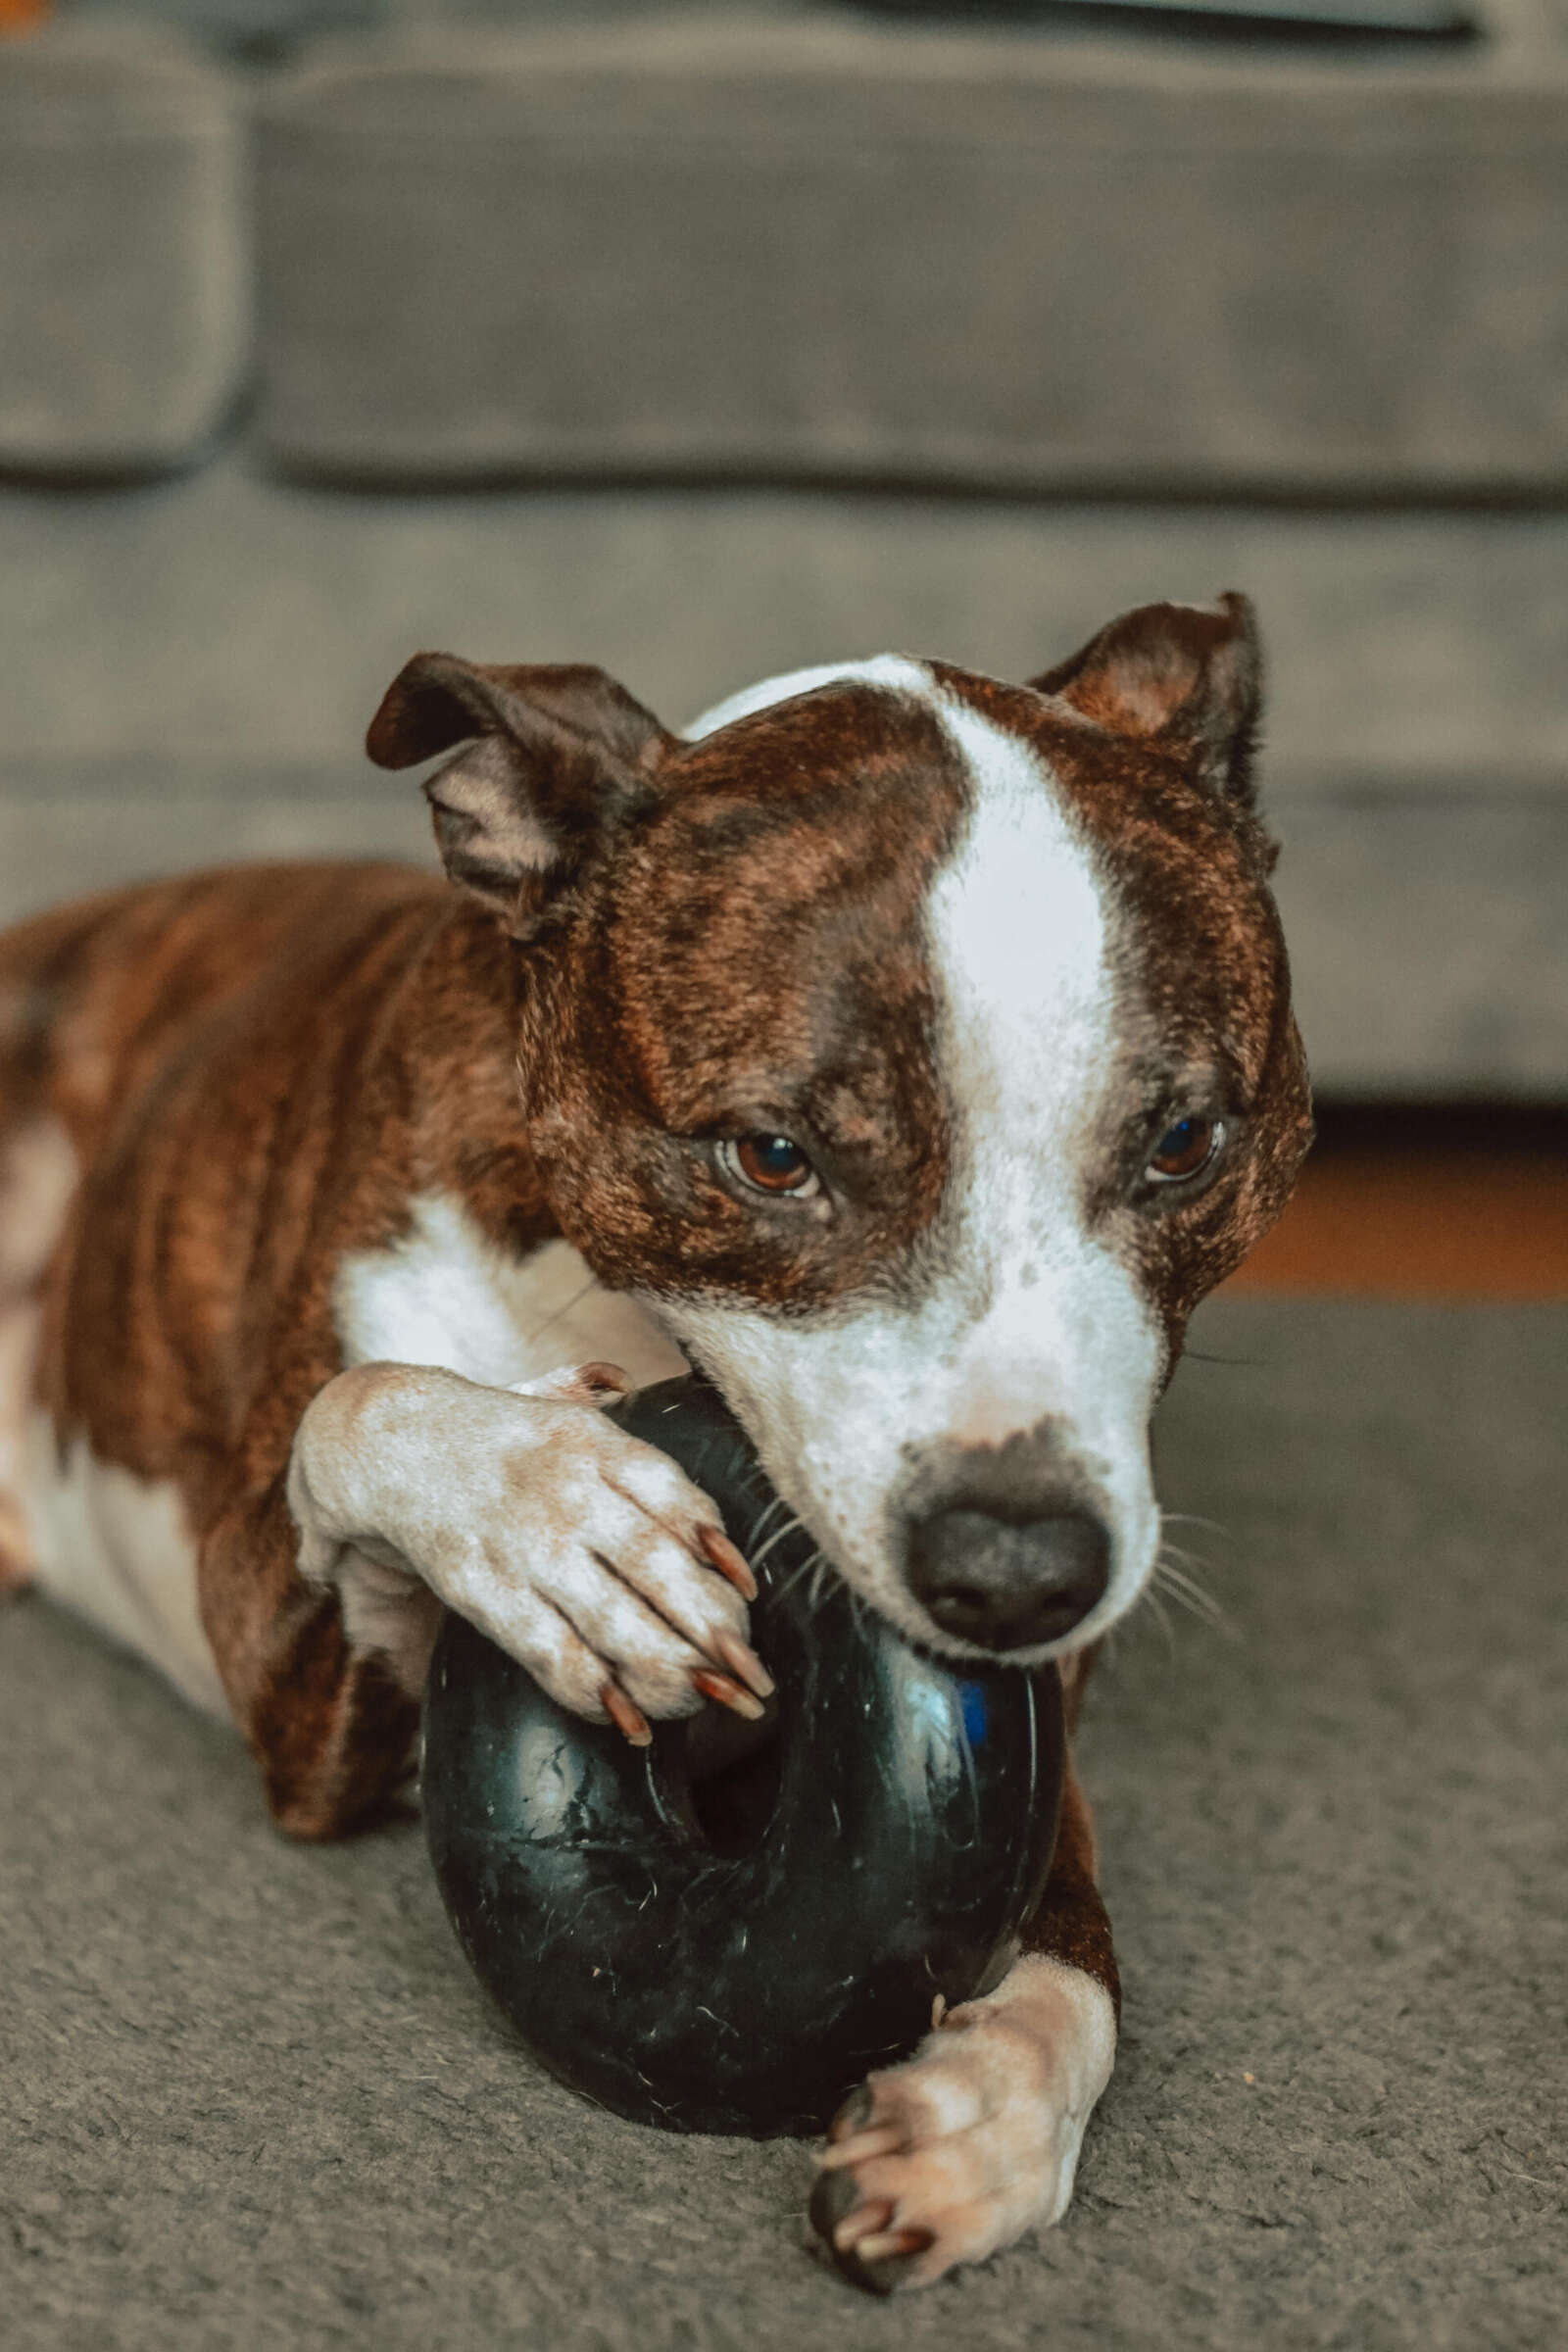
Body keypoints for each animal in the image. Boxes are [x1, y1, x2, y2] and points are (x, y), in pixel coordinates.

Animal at [0, 592, 1316, 2295]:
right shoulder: (290, 1698)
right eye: (770, 1157)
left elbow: (1069, 1926)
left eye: (1184, 1145)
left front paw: (989, 2100)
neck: (625, 1323)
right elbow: (361, 1407)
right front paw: (554, 1522)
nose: (1018, 1567)